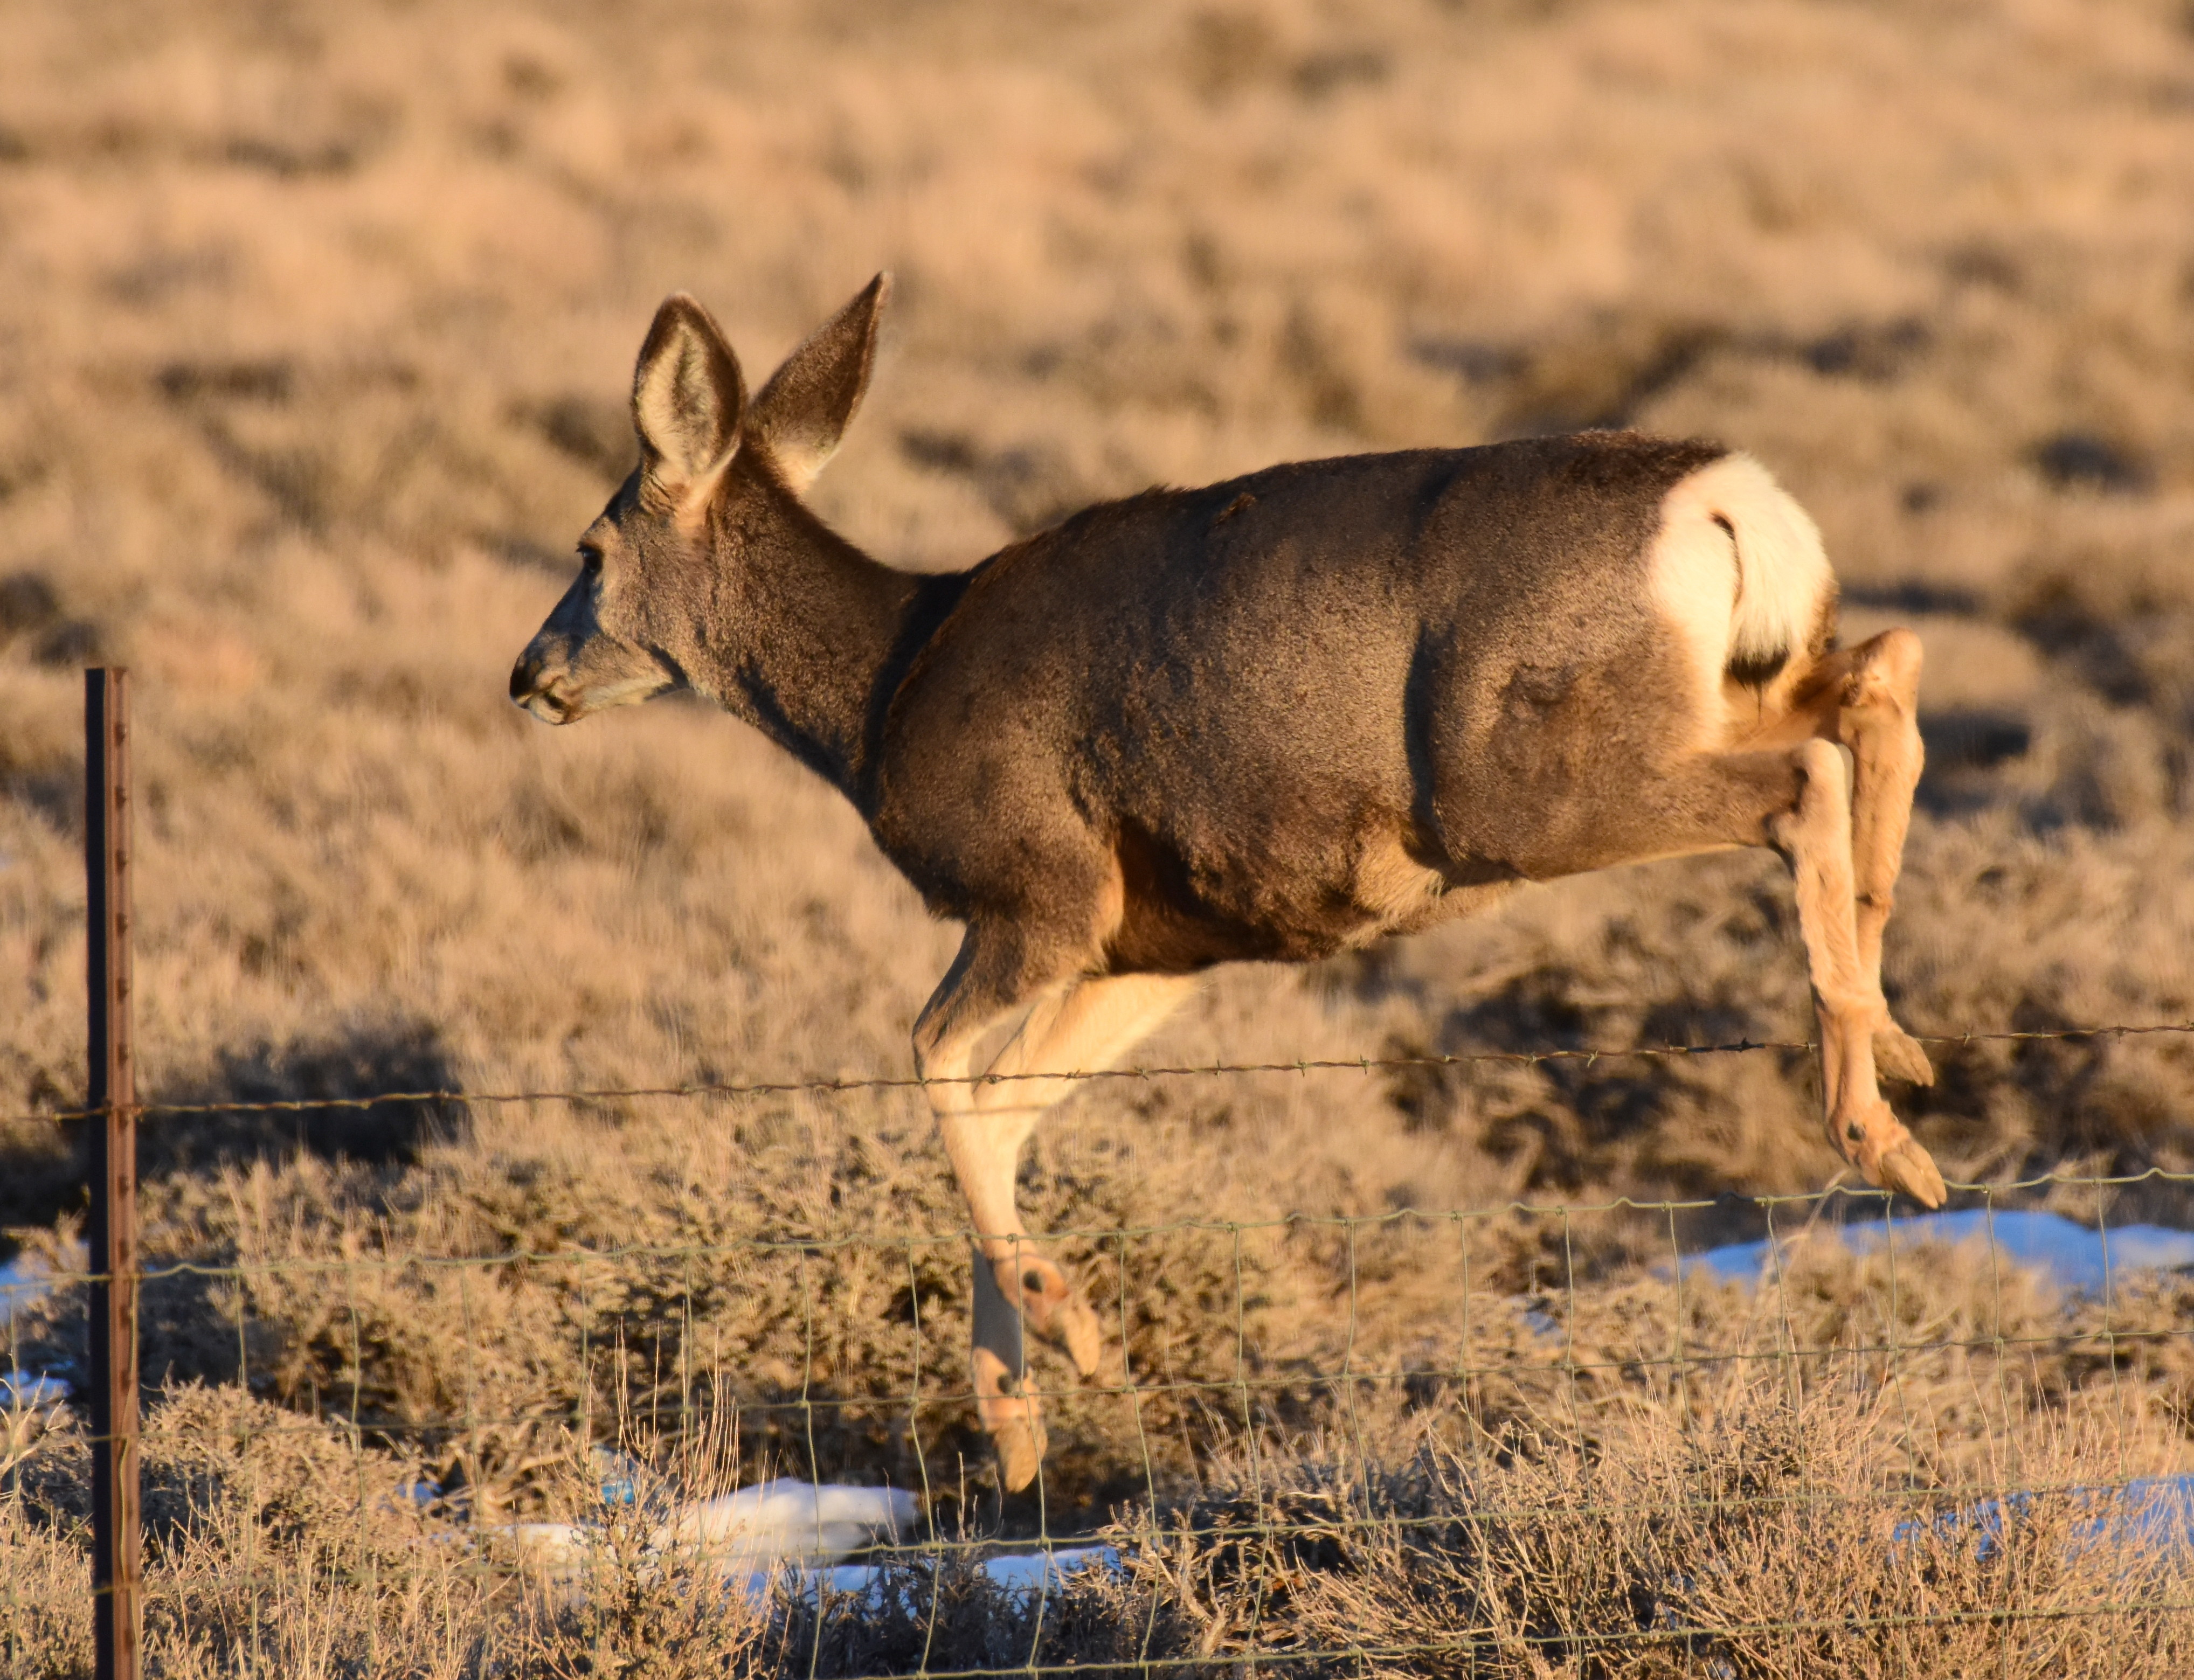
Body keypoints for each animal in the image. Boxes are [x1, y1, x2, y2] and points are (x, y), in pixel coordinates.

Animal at [509, 279, 1939, 1500]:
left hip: (1523, 778)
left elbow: (927, 1059)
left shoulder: (1041, 888)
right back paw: (1899, 1041)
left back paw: (1876, 1129)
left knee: (1802, 774)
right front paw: (1015, 1422)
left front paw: (1070, 1333)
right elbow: (1004, 1104)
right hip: (1719, 688)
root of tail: (1725, 500)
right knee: (1880, 669)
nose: (529, 678)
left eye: (587, 547)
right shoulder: (1159, 948)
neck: (881, 695)